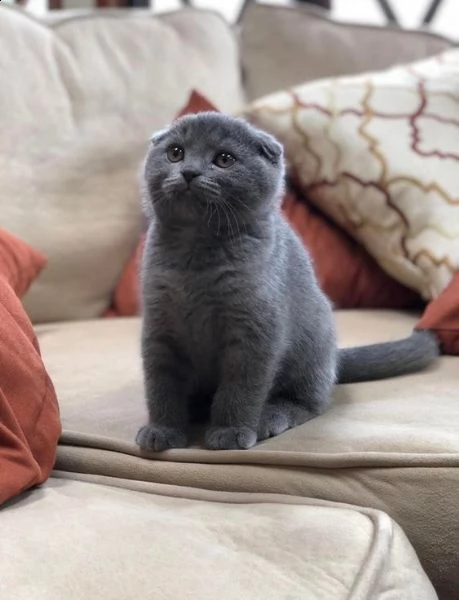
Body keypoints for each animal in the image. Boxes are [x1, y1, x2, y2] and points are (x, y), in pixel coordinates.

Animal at [136, 111, 438, 450]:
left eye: (224, 159)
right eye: (175, 153)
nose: (189, 172)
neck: (196, 250)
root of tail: (334, 359)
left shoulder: (254, 330)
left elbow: (240, 388)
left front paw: (229, 431)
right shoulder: (160, 326)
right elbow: (161, 386)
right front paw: (162, 430)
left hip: (312, 345)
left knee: (311, 402)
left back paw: (269, 418)